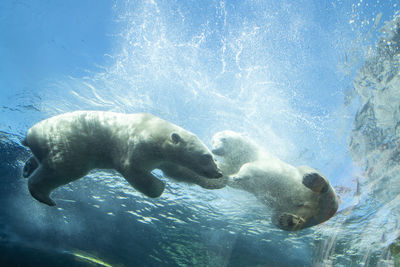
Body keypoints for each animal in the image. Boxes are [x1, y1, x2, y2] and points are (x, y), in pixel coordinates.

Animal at [21, 111, 223, 207]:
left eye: (213, 157)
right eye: (207, 156)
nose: (218, 173)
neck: (157, 131)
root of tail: (30, 134)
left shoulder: (165, 158)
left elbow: (178, 172)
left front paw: (218, 184)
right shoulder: (138, 145)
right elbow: (132, 168)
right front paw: (159, 187)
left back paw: (28, 166)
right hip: (70, 143)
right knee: (63, 168)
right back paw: (43, 195)